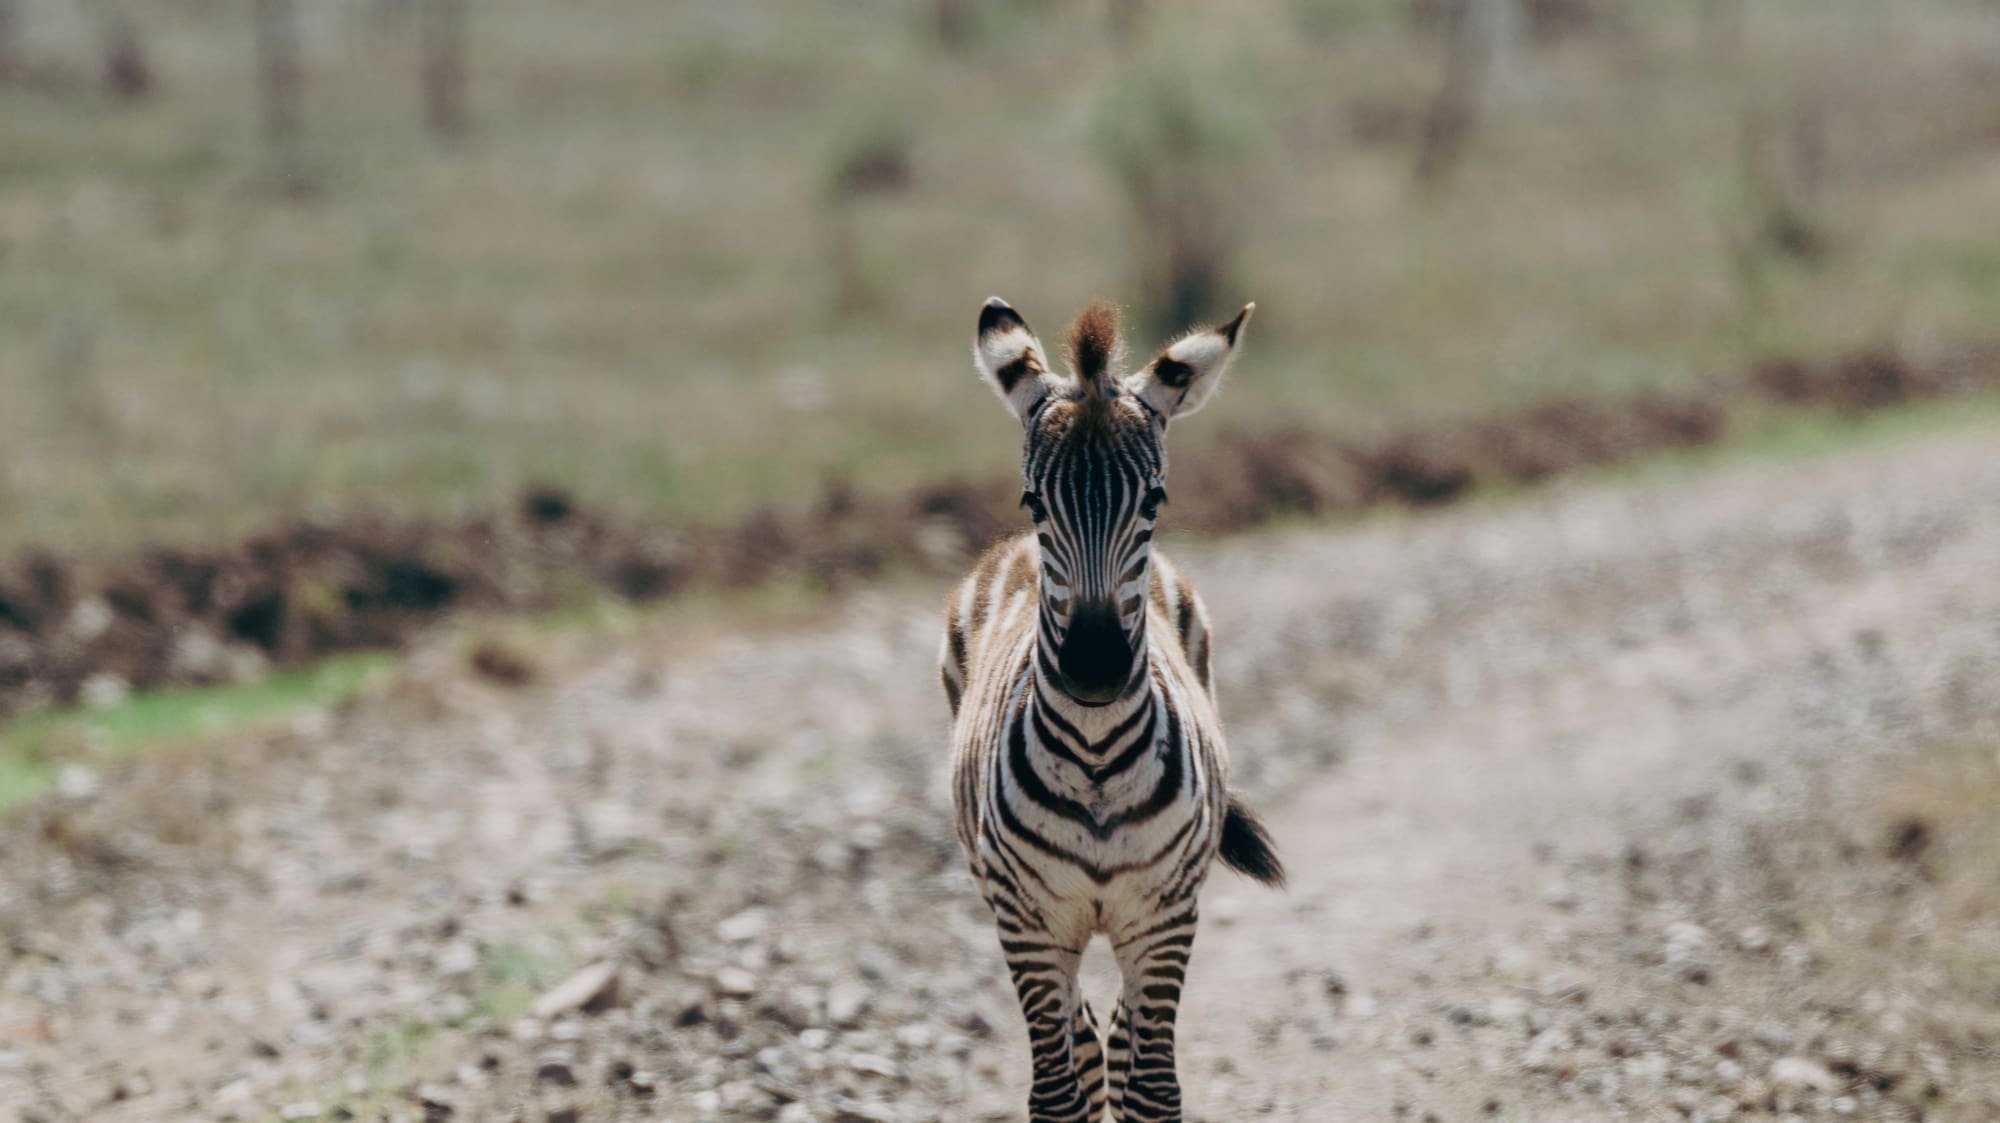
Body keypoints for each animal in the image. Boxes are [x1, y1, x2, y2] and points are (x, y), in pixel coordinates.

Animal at [941, 296, 1285, 1122]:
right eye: (1033, 499)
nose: (1094, 669)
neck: (1096, 751)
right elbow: (1058, 1094)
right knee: (1088, 1043)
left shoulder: (1163, 919)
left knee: (1123, 1040)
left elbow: (1154, 1091)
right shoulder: (1028, 924)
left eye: (1154, 499)